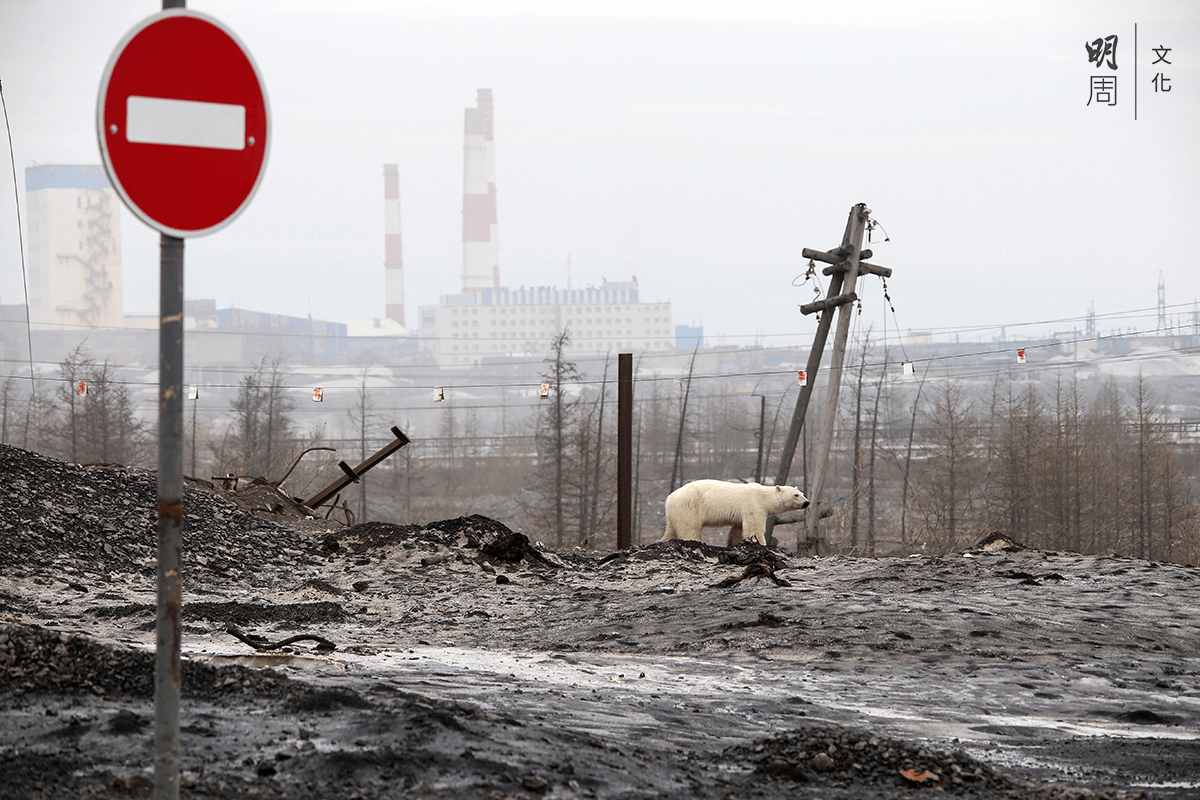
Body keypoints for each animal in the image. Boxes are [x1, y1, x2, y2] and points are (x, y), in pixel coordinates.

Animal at [662, 479, 811, 546]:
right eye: (796, 495)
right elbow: (754, 527)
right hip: (689, 507)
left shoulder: (742, 514)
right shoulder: (753, 505)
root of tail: (669, 498)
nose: (807, 502)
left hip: (676, 512)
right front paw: (761, 544)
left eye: (802, 493)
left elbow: (739, 530)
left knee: (672, 530)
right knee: (690, 528)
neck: (764, 497)